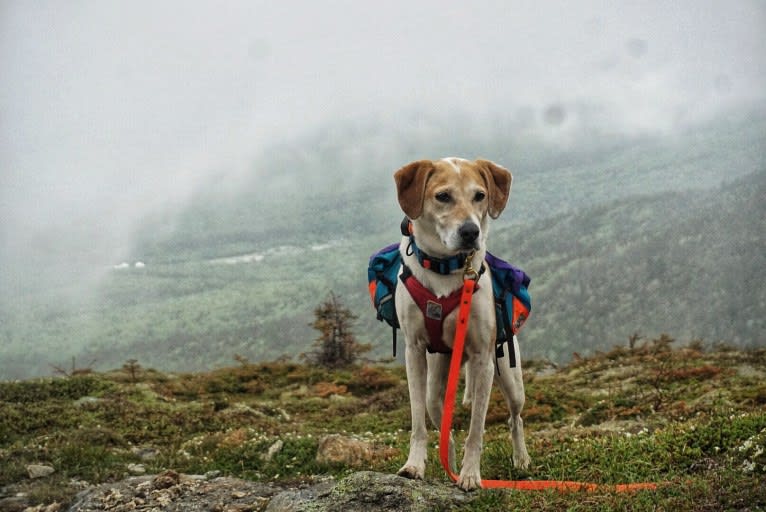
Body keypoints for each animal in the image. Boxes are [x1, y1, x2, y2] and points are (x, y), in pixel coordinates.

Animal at [392, 157, 532, 492]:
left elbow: (476, 430)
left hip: (511, 377)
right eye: (443, 196)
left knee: (516, 418)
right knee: (442, 423)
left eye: (480, 195)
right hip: (436, 382)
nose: (471, 231)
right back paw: (448, 468)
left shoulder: (482, 359)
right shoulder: (414, 352)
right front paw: (414, 465)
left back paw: (521, 460)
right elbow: (419, 423)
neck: (445, 267)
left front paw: (470, 475)